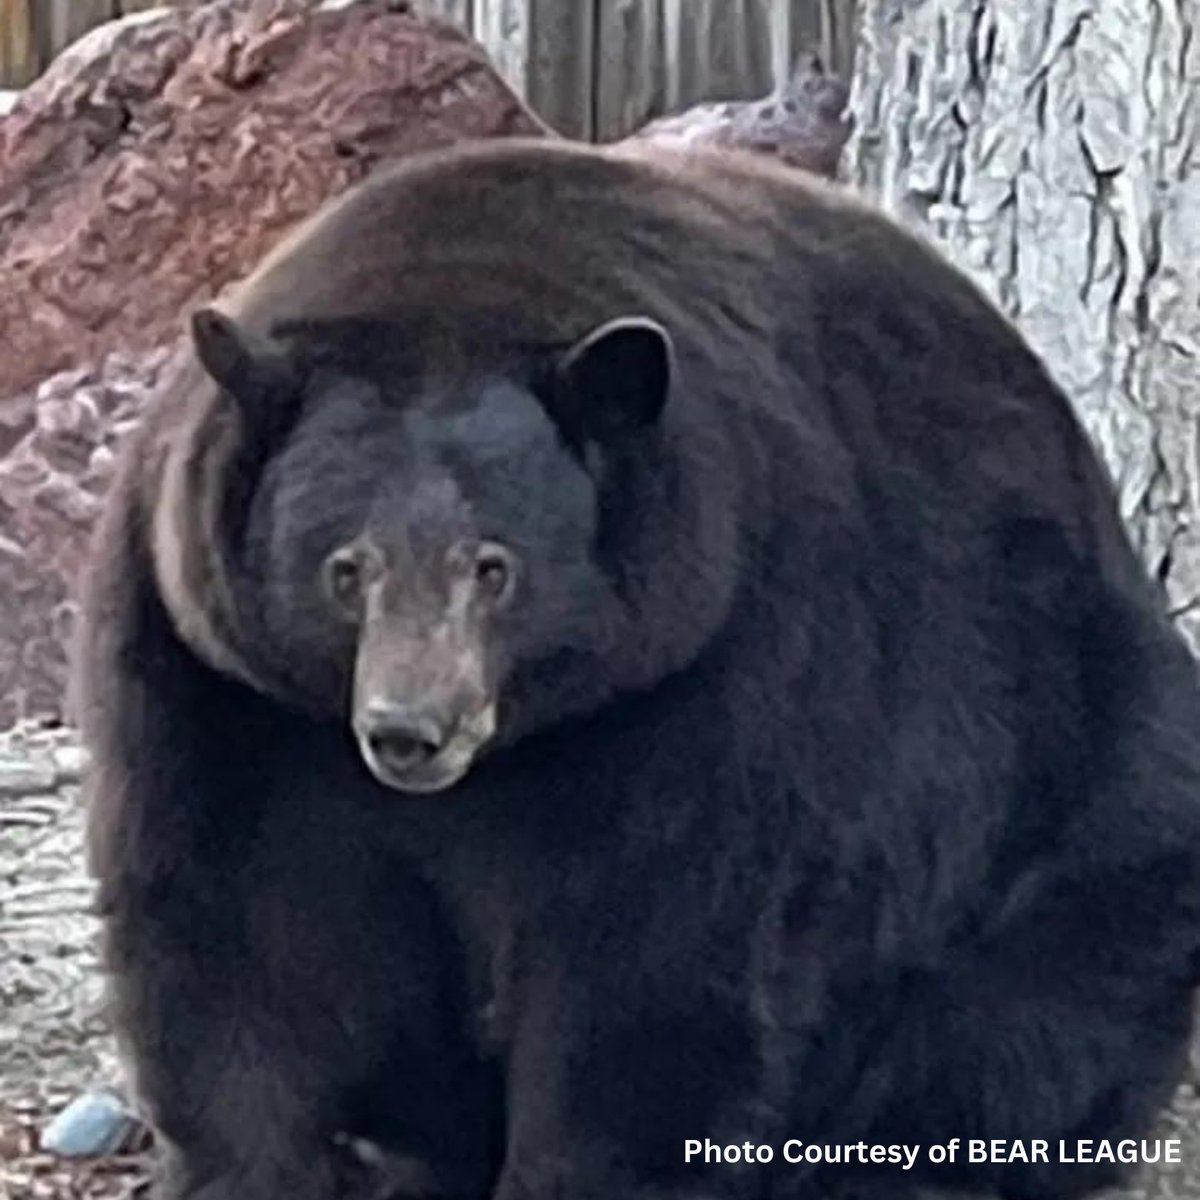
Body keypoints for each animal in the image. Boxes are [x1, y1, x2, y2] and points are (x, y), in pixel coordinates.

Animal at [75, 136, 1200, 1200]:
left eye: (494, 566)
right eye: (345, 567)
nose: (410, 730)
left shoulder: (722, 651)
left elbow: (656, 948)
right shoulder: (218, 677)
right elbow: (236, 919)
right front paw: (255, 1164)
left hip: (1061, 755)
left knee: (1040, 996)